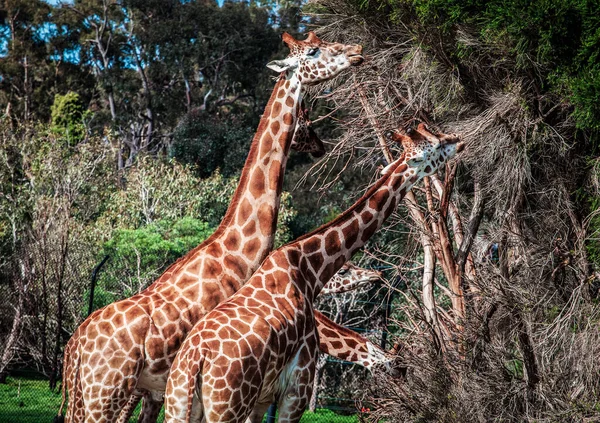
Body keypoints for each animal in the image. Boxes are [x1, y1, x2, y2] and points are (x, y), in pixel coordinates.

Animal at [59, 32, 384, 423]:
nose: (357, 52)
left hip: (93, 394)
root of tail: (75, 347)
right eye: (314, 51)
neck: (237, 250)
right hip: (108, 392)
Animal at [162, 124, 462, 423]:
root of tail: (195, 361)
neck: (309, 270)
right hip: (226, 408)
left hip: (178, 403)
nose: (456, 140)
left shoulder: (263, 399)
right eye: (432, 148)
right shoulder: (298, 388)